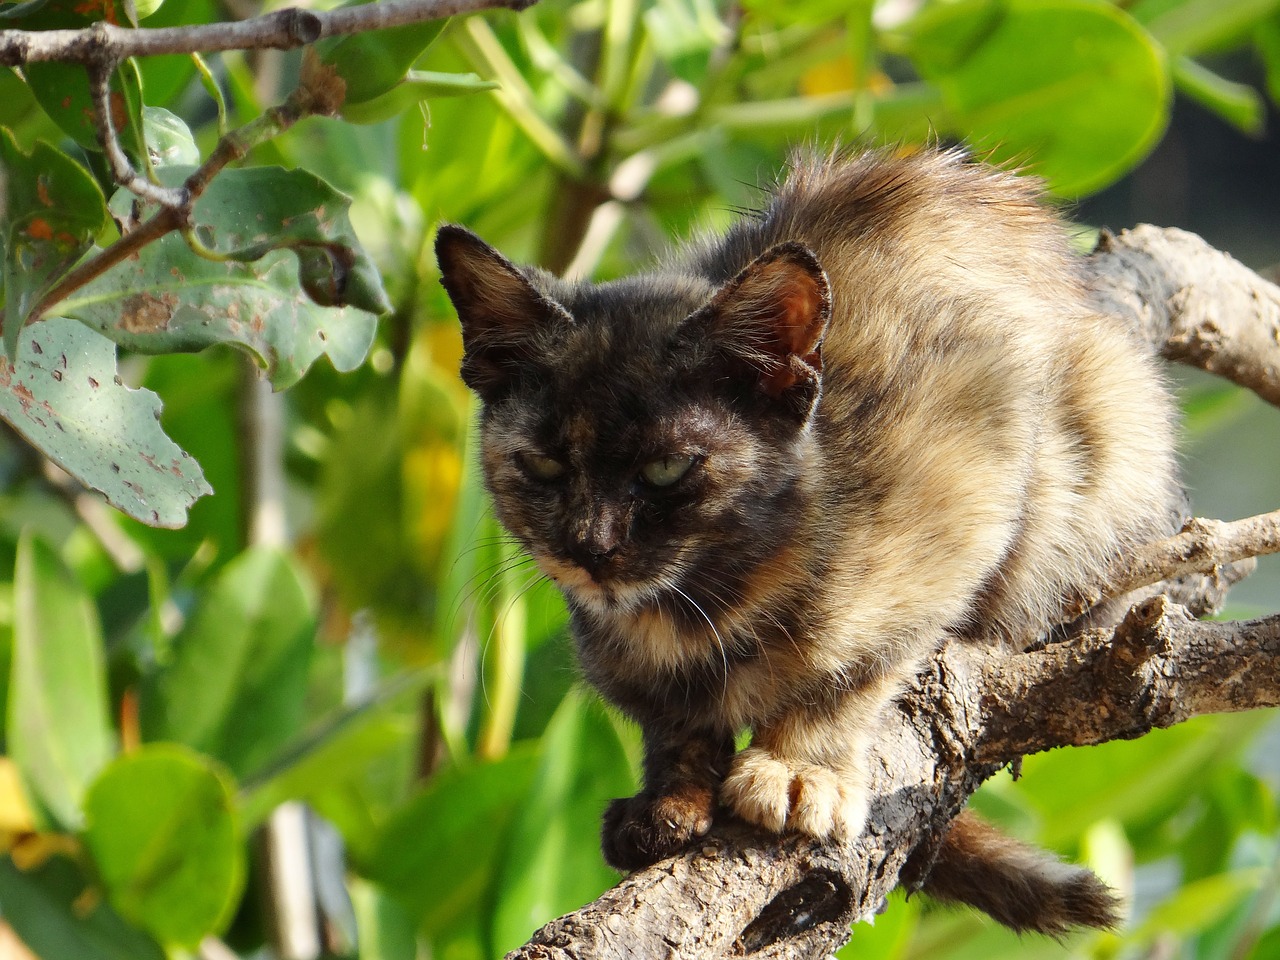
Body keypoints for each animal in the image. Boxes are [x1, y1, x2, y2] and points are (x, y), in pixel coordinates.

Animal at [437, 152, 1177, 942]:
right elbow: (672, 722)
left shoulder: (971, 452)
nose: (589, 545)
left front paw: (796, 768)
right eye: (544, 465)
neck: (707, 599)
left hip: (1109, 405)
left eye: (667, 469)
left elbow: (857, 666)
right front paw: (670, 798)